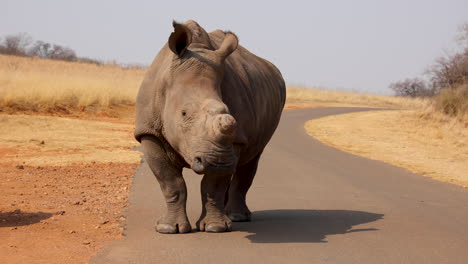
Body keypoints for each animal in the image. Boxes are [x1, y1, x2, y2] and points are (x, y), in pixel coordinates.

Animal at [134, 20, 286, 233]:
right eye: (184, 114)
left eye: (229, 113)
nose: (218, 161)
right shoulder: (149, 131)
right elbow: (171, 183)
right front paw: (168, 228)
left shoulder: (235, 140)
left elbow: (213, 184)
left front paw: (215, 228)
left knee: (251, 159)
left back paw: (237, 217)